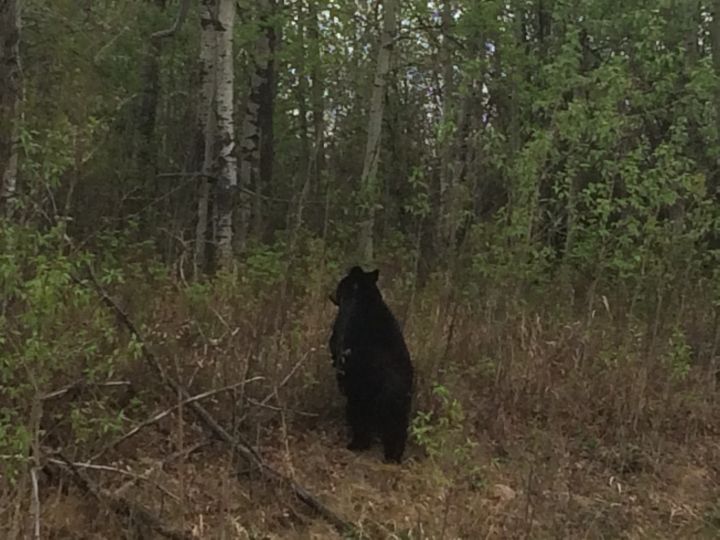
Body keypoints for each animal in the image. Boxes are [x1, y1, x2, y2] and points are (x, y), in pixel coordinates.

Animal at [328, 266, 414, 463]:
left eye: (340, 283)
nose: (331, 295)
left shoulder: (342, 323)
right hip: (403, 404)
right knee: (398, 429)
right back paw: (394, 456)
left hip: (362, 393)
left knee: (359, 416)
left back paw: (357, 444)